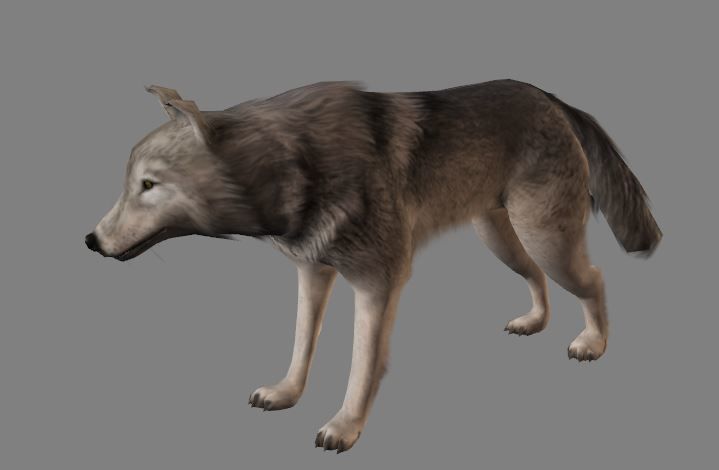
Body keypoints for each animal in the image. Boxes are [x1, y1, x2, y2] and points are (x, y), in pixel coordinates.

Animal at [85, 79, 662, 452]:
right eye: (130, 183)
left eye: (149, 185)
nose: (89, 241)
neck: (293, 167)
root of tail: (552, 97)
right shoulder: (313, 273)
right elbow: (302, 342)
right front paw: (286, 393)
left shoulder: (377, 282)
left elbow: (362, 364)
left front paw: (345, 427)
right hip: (503, 238)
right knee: (539, 280)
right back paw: (534, 322)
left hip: (545, 239)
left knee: (594, 279)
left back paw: (593, 344)